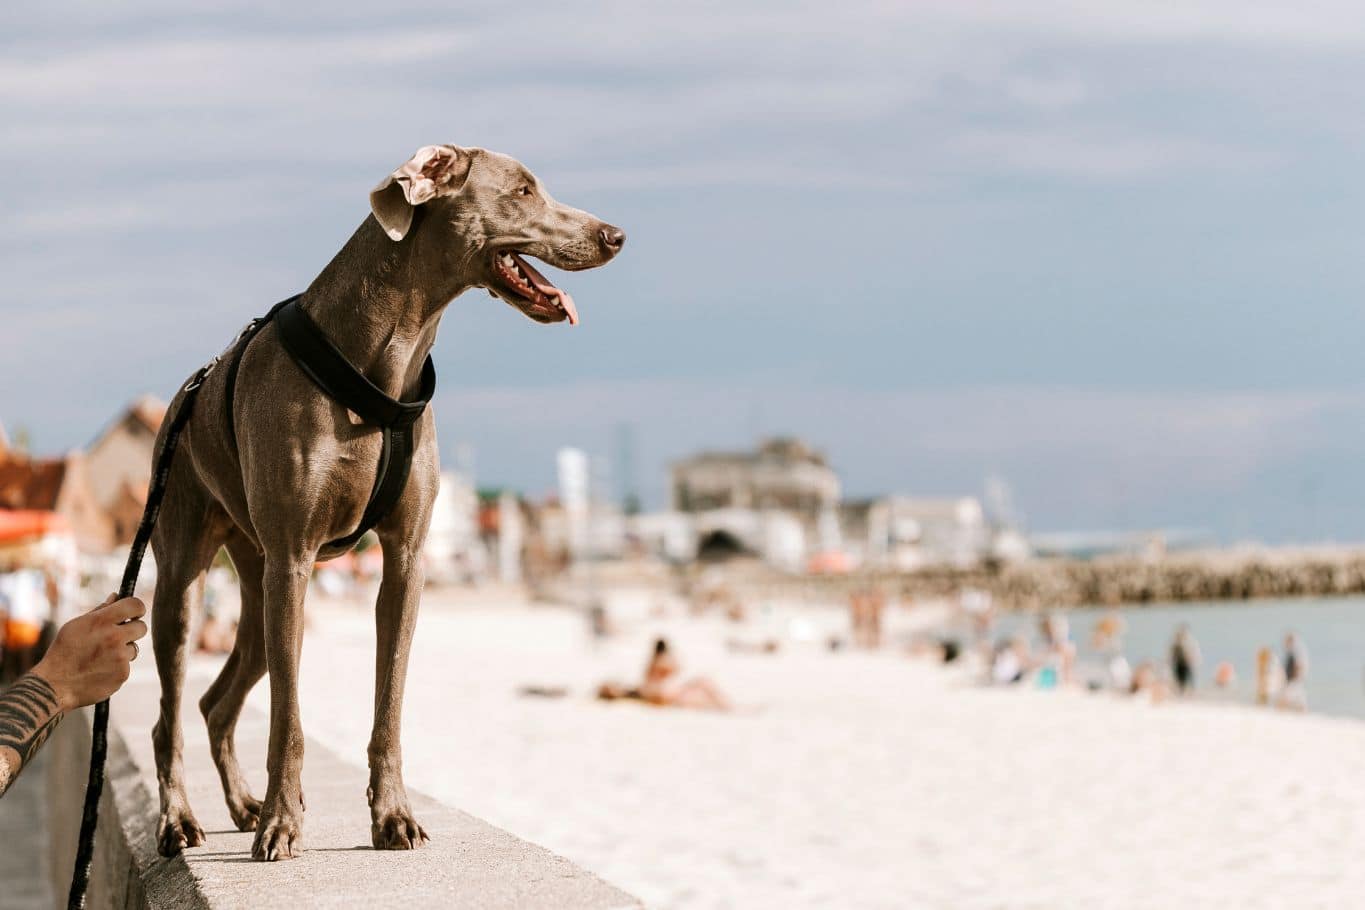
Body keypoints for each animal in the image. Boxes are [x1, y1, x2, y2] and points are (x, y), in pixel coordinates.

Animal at [148, 143, 625, 862]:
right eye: (521, 190)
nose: (615, 235)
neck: (381, 359)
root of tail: (185, 394)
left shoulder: (404, 560)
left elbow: (389, 705)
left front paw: (393, 816)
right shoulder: (295, 556)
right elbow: (288, 721)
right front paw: (283, 824)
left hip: (258, 584)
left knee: (216, 702)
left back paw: (240, 805)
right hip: (189, 579)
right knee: (170, 714)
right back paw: (181, 819)